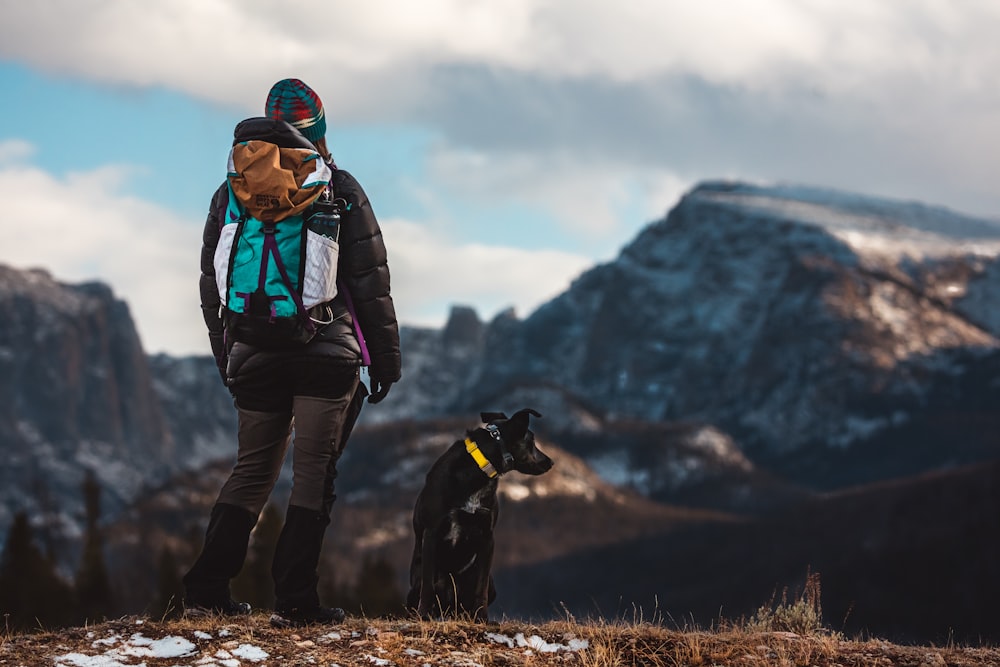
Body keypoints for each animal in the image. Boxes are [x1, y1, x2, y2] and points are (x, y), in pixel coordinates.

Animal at [404, 410, 552, 624]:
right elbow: (428, 586)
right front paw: (423, 615)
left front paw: (482, 617)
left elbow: (480, 588)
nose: (551, 462)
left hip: (489, 584)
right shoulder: (431, 533)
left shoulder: (487, 537)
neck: (478, 471)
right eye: (531, 441)